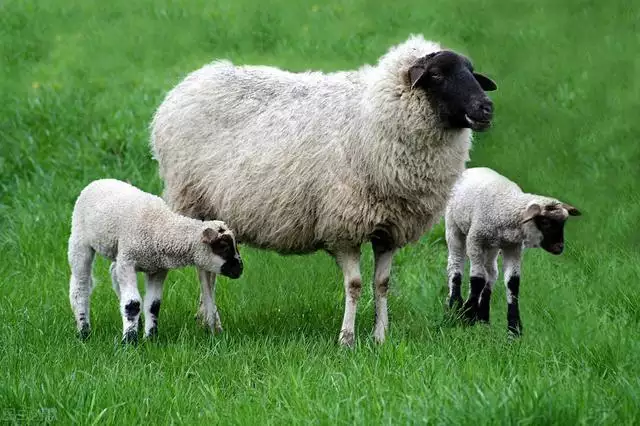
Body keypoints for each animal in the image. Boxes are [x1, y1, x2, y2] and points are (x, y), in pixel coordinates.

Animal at [67, 177, 242, 342]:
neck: (159, 225)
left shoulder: (157, 269)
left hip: (118, 252)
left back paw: (136, 325)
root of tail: (99, 181)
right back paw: (84, 331)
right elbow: (132, 303)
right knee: (80, 287)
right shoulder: (128, 262)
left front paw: (150, 338)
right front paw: (129, 341)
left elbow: (153, 305)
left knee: (114, 274)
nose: (240, 269)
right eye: (224, 246)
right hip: (79, 241)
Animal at [151, 33, 500, 346]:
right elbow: (355, 284)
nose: (486, 107)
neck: (376, 115)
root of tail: (190, 83)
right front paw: (347, 339)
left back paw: (204, 318)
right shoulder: (343, 225)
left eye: (472, 72)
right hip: (193, 200)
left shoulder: (391, 229)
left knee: (208, 269)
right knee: (204, 270)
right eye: (437, 75)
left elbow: (382, 284)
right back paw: (213, 323)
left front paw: (380, 337)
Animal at [442, 167, 584, 336]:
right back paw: (454, 304)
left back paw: (483, 318)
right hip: (454, 227)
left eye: (563, 223)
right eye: (545, 222)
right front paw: (466, 315)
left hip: (492, 246)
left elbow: (512, 283)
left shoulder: (513, 248)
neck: (506, 204)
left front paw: (514, 330)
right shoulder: (475, 240)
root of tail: (472, 169)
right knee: (456, 263)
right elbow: (478, 279)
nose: (559, 247)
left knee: (491, 273)